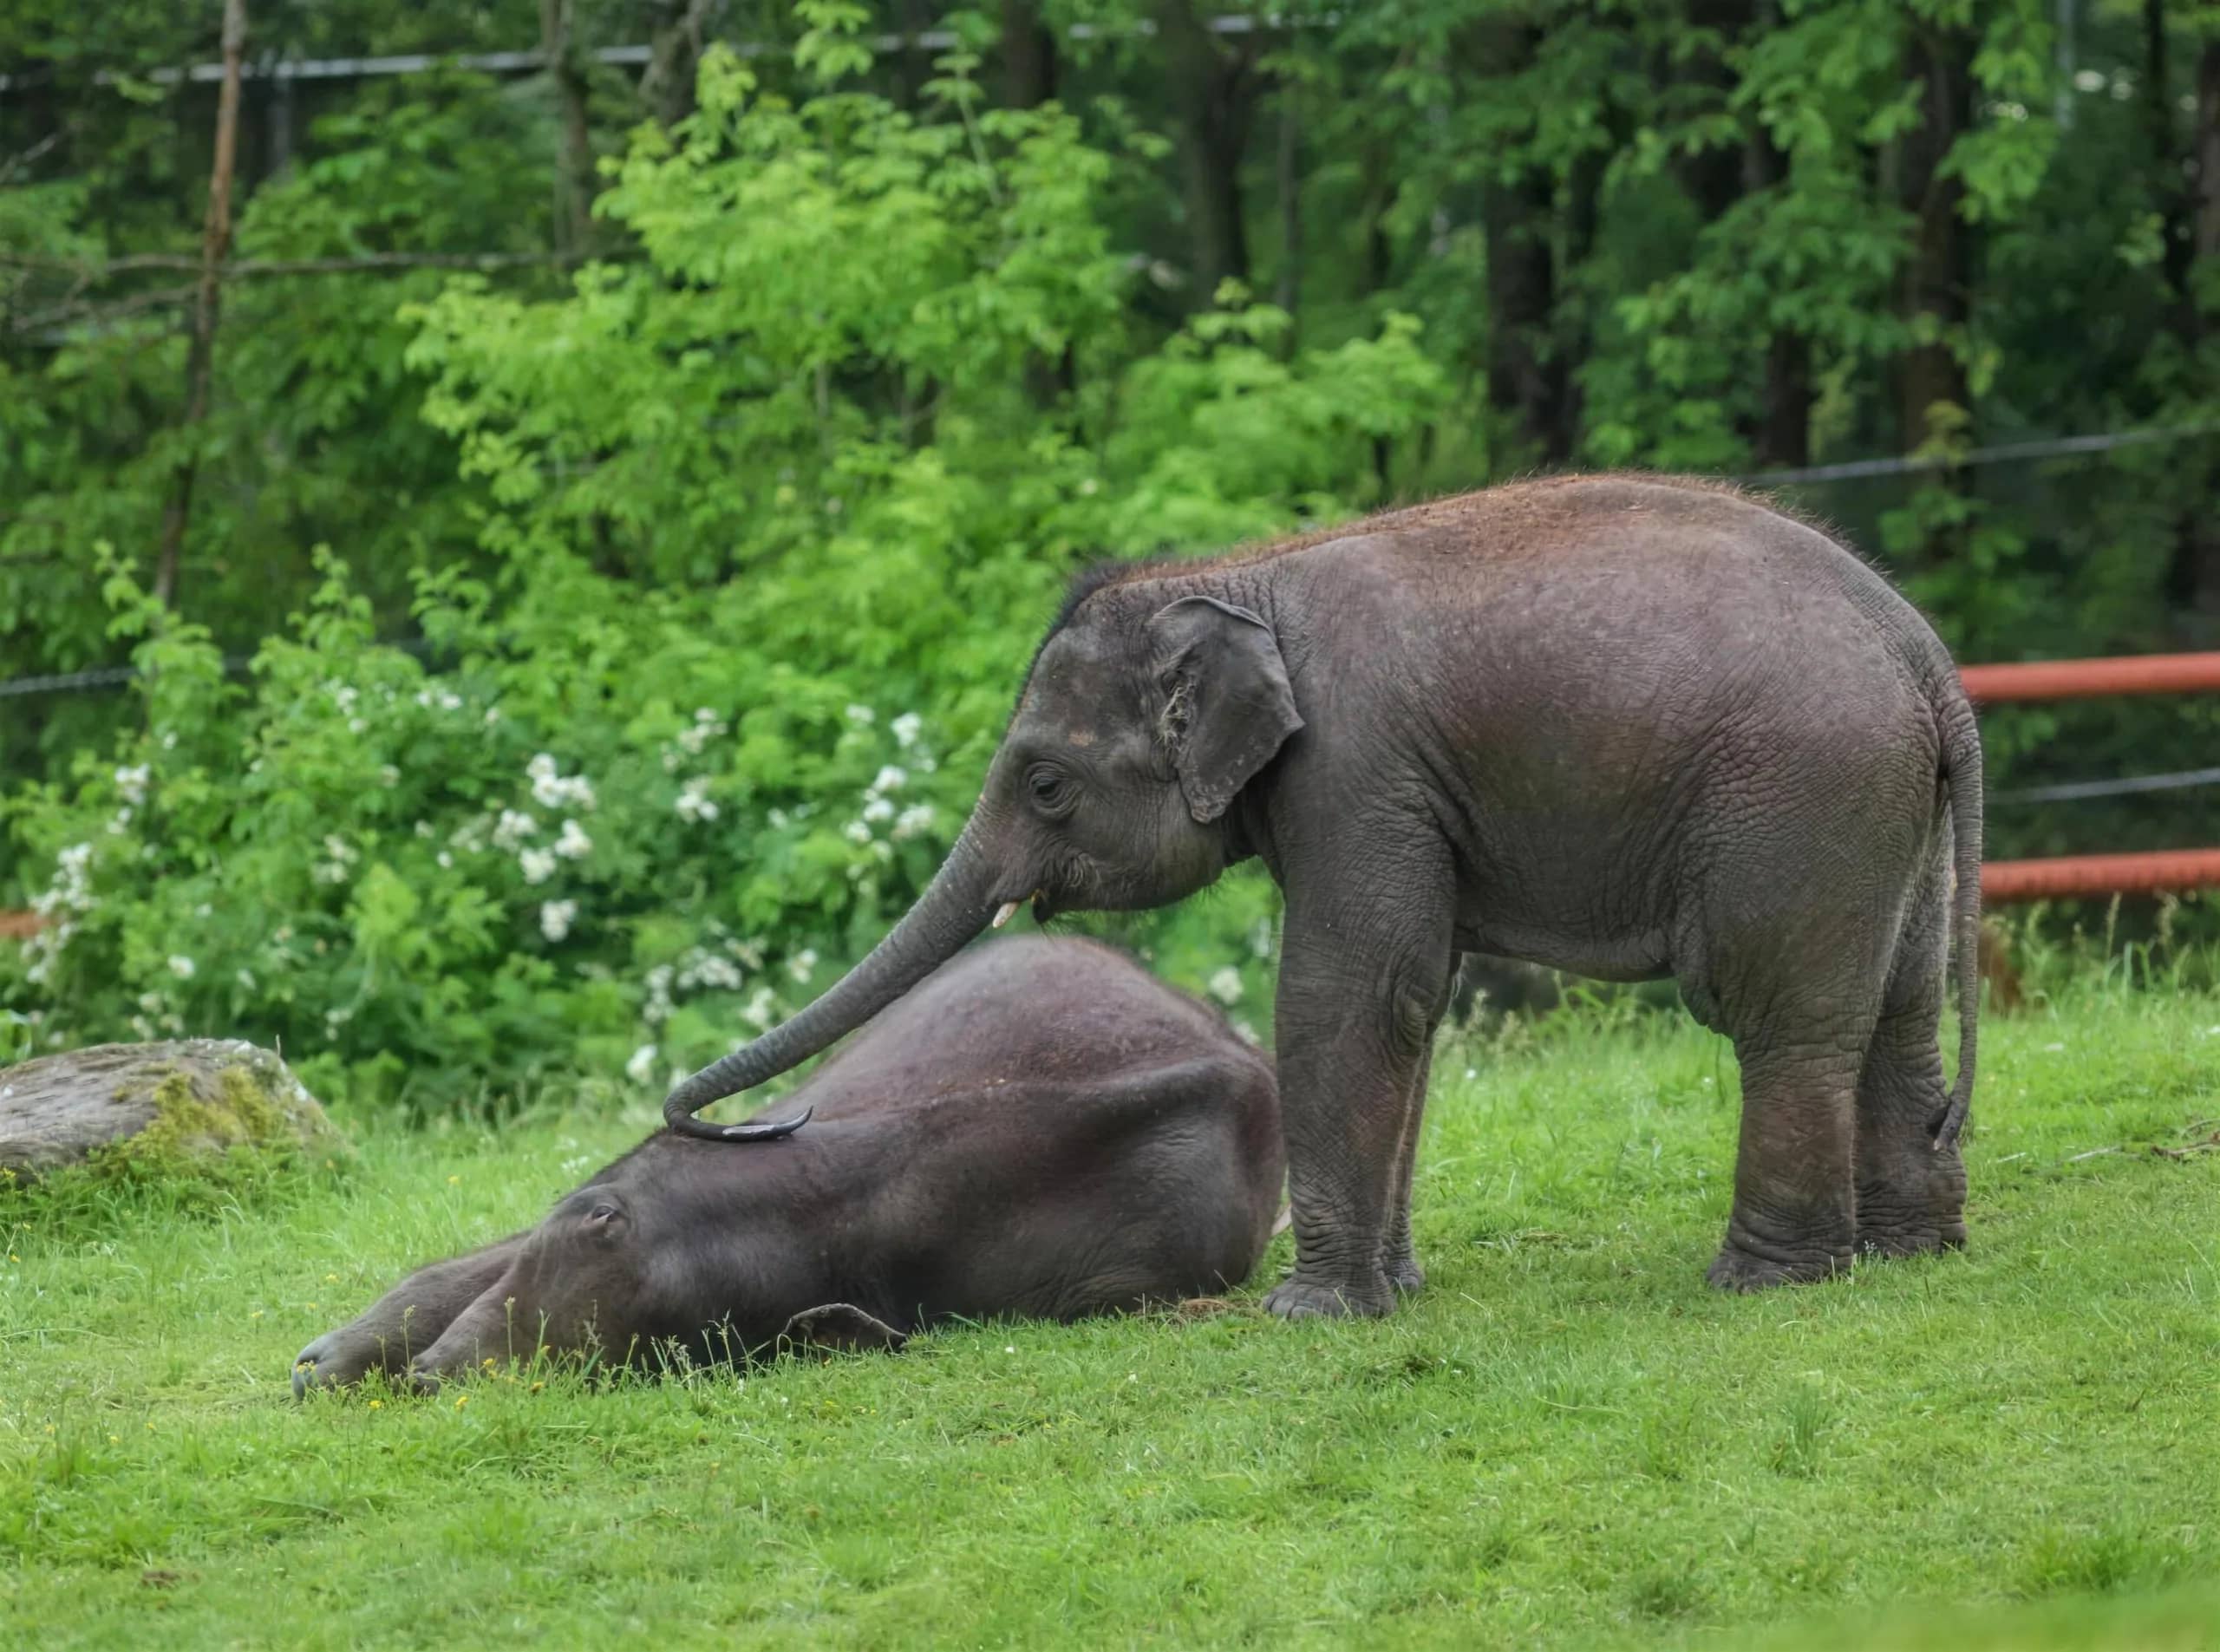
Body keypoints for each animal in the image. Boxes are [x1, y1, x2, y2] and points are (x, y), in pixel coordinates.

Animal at [663, 474, 1983, 1318]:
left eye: (1043, 785)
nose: (728, 1123)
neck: (1235, 574)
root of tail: (1929, 661)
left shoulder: (1356, 769)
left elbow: (1355, 993)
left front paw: (1309, 1317)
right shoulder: (1391, 793)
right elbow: (1417, 1002)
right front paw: (1391, 1295)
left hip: (1801, 794)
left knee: (1781, 1020)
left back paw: (1762, 1283)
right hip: (1884, 811)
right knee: (1900, 1011)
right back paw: (1911, 1258)